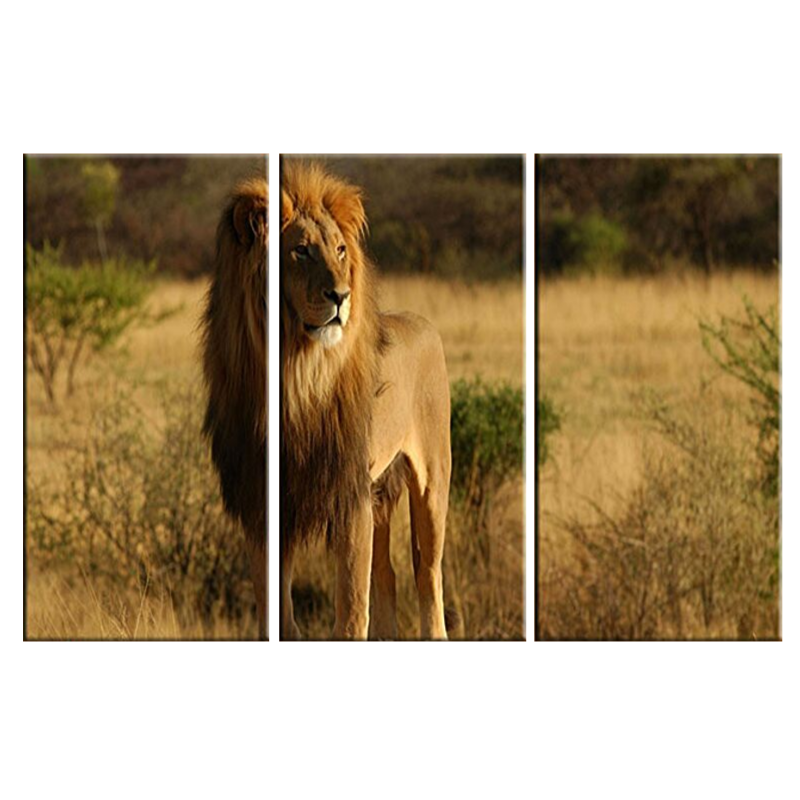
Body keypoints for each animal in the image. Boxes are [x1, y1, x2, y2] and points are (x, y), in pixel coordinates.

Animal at [280, 161, 452, 640]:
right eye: (300, 251)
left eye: (340, 250)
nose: (339, 297)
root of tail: (424, 323)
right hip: (376, 494)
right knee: (387, 574)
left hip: (432, 481)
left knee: (427, 572)